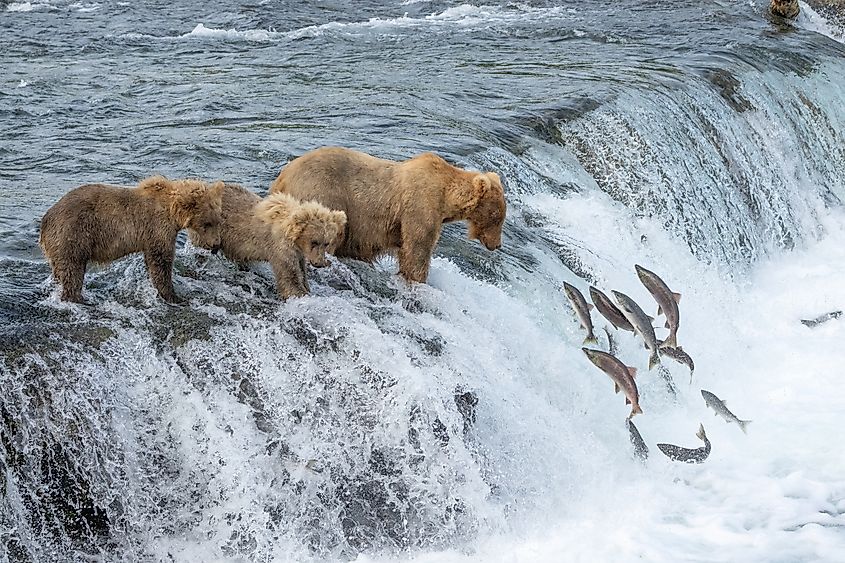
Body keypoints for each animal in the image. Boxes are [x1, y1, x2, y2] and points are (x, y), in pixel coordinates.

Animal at [39, 175, 224, 303]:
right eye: (207, 223)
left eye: (218, 220)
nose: (216, 244)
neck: (172, 212)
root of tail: (46, 218)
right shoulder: (157, 228)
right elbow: (161, 261)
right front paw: (174, 296)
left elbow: (152, 261)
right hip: (73, 234)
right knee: (73, 268)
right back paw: (80, 298)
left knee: (59, 270)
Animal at [196, 183, 347, 299]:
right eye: (314, 241)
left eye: (326, 242)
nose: (319, 263)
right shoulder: (280, 248)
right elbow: (289, 276)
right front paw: (299, 293)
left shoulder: (298, 253)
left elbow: (301, 270)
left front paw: (306, 287)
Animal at [269, 146, 506, 283]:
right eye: (497, 217)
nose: (497, 244)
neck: (446, 197)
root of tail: (282, 178)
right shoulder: (420, 207)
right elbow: (417, 250)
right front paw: (417, 279)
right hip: (323, 193)